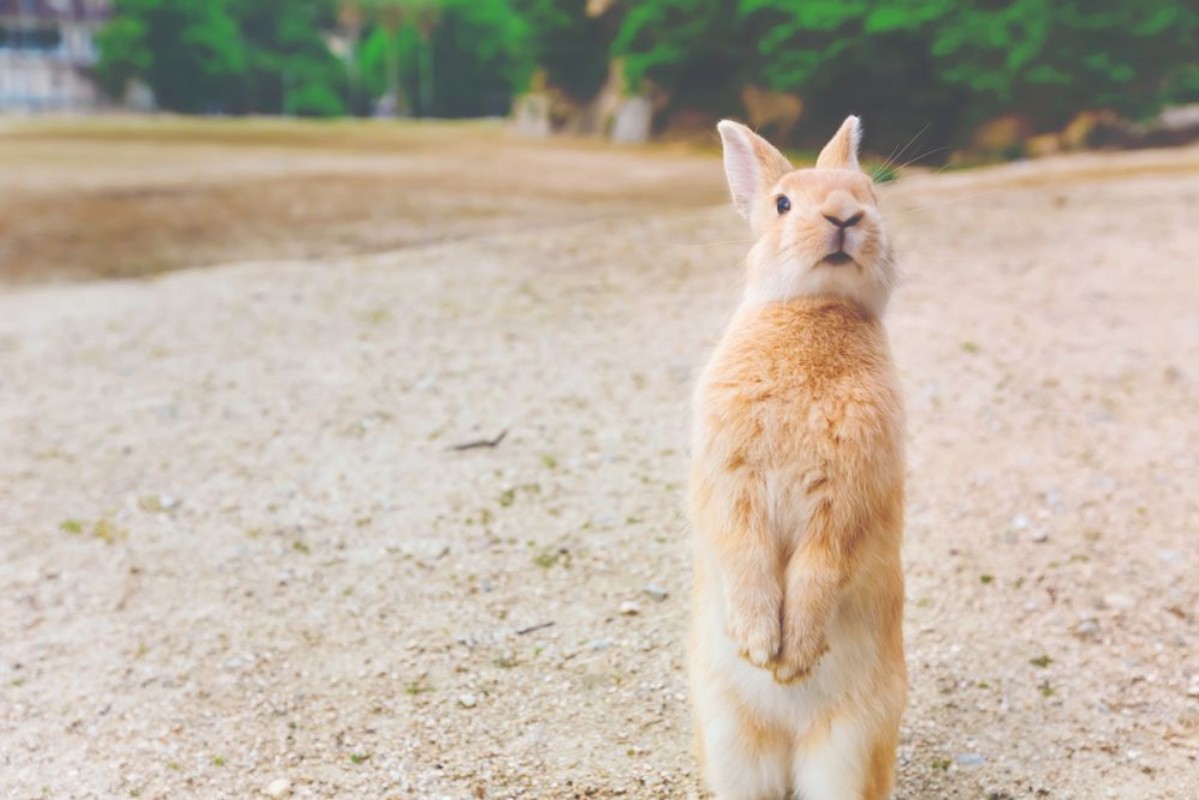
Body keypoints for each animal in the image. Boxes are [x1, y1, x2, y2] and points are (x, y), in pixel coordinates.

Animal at [688, 116, 907, 800]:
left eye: (872, 193)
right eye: (783, 203)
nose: (844, 215)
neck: (816, 309)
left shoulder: (850, 497)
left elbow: (821, 566)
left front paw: (796, 656)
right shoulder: (731, 480)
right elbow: (745, 549)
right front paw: (762, 648)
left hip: (848, 747)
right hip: (730, 738)